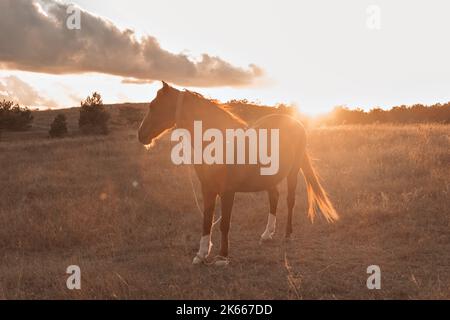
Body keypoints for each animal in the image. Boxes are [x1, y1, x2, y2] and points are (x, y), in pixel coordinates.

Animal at [137, 82, 338, 264]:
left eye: (154, 106)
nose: (141, 135)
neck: (217, 143)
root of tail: (296, 123)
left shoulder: (228, 191)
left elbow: (224, 224)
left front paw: (222, 256)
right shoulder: (207, 189)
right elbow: (206, 221)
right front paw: (201, 255)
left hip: (293, 172)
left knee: (290, 201)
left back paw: (287, 234)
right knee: (274, 197)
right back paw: (267, 234)